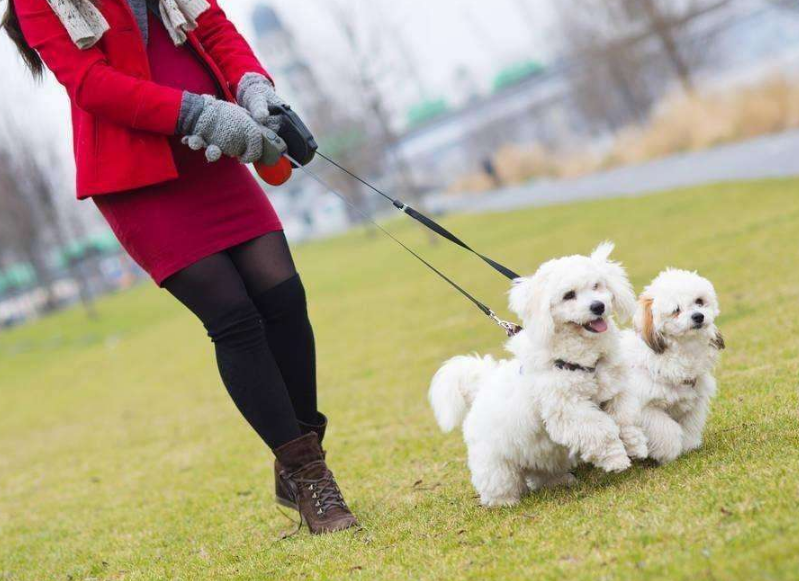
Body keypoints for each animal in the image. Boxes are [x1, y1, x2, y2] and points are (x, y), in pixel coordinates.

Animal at [432, 242, 648, 506]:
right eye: (568, 295)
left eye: (597, 286)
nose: (598, 306)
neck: (582, 359)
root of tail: (479, 391)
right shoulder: (569, 410)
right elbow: (601, 430)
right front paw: (616, 459)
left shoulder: (615, 391)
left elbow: (625, 419)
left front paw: (636, 445)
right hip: (495, 464)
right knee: (499, 482)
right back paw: (505, 502)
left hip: (539, 452)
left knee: (542, 471)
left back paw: (560, 480)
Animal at [620, 270, 728, 464]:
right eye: (676, 310)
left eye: (699, 301)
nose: (698, 316)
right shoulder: (645, 408)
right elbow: (666, 429)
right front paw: (668, 452)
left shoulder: (694, 400)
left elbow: (690, 425)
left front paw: (689, 445)